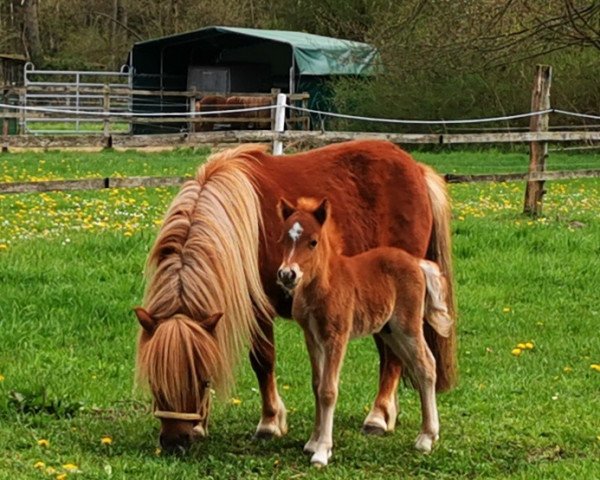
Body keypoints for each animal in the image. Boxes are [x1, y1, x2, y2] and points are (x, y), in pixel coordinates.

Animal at [276, 198, 450, 464]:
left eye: (313, 241)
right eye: (284, 238)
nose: (287, 274)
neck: (323, 284)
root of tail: (417, 262)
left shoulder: (336, 336)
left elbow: (328, 390)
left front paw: (322, 451)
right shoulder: (312, 337)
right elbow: (316, 385)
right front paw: (312, 442)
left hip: (407, 327)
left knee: (427, 365)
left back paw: (425, 439)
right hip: (391, 332)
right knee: (422, 366)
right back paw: (430, 435)